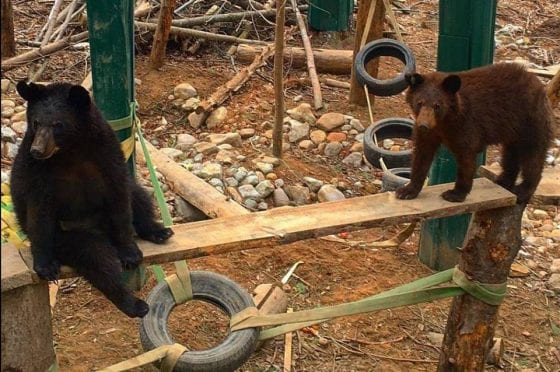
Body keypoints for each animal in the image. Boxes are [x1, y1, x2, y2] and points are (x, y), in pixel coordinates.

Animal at [10, 81, 173, 316]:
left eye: (58, 124)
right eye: (36, 122)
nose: (38, 150)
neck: (71, 150)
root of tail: (99, 229)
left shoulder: (106, 152)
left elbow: (119, 196)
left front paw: (130, 252)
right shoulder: (36, 170)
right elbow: (39, 211)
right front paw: (45, 266)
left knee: (138, 196)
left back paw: (159, 231)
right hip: (67, 236)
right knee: (96, 258)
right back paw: (134, 304)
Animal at [396, 63, 552, 203]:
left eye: (437, 106)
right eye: (419, 102)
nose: (424, 125)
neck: (445, 121)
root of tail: (537, 83)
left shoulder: (466, 125)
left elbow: (466, 157)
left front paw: (455, 194)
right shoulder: (428, 133)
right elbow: (422, 154)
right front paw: (407, 190)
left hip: (530, 120)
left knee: (533, 155)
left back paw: (522, 191)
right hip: (513, 131)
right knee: (510, 155)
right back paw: (503, 180)